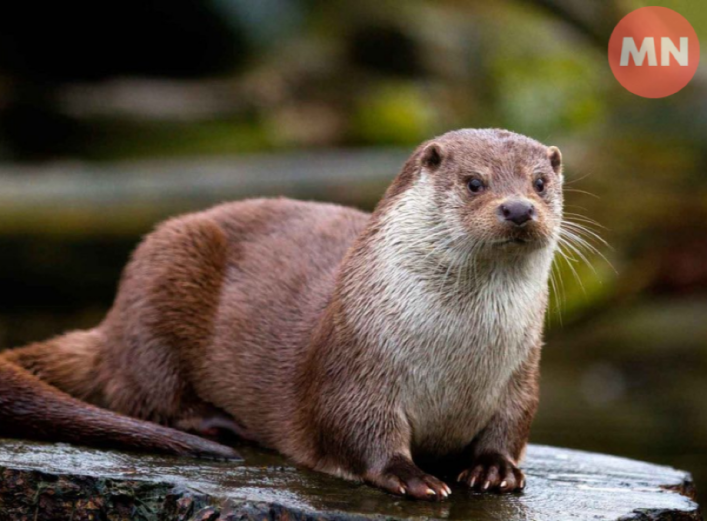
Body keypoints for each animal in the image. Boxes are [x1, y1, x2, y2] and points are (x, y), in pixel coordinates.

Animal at [0, 129, 564, 501]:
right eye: (474, 182)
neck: (457, 360)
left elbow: (511, 426)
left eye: (539, 183)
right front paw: (411, 475)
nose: (518, 209)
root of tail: (111, 328)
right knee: (141, 391)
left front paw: (493, 470)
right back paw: (219, 424)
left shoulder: (521, 375)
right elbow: (355, 428)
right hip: (162, 272)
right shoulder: (353, 366)